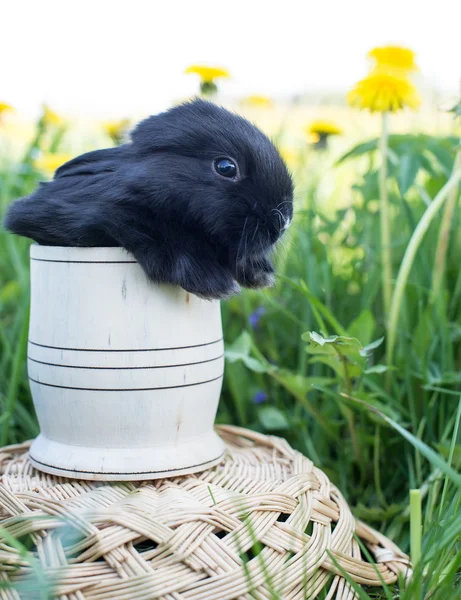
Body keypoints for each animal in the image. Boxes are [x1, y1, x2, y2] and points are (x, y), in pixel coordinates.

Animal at [4, 98, 292, 300]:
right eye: (226, 167)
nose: (284, 221)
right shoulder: (117, 213)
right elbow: (162, 235)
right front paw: (212, 283)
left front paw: (259, 274)